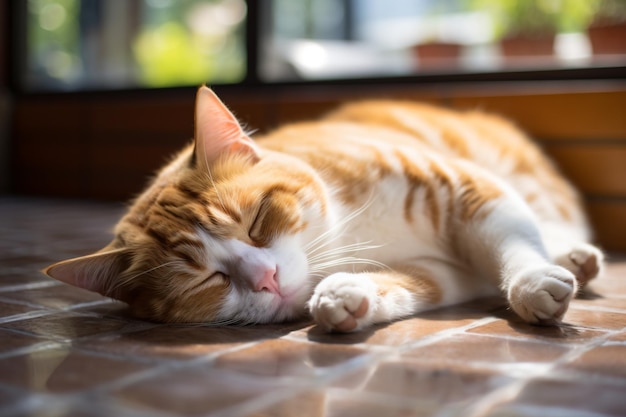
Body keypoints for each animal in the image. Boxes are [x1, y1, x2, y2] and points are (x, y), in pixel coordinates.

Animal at [42, 85, 600, 332]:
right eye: (204, 281)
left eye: (257, 221)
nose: (265, 278)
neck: (349, 234)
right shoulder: (443, 271)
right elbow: (409, 284)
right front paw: (346, 295)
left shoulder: (462, 186)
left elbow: (511, 239)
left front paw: (531, 283)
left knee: (542, 222)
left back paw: (571, 256)